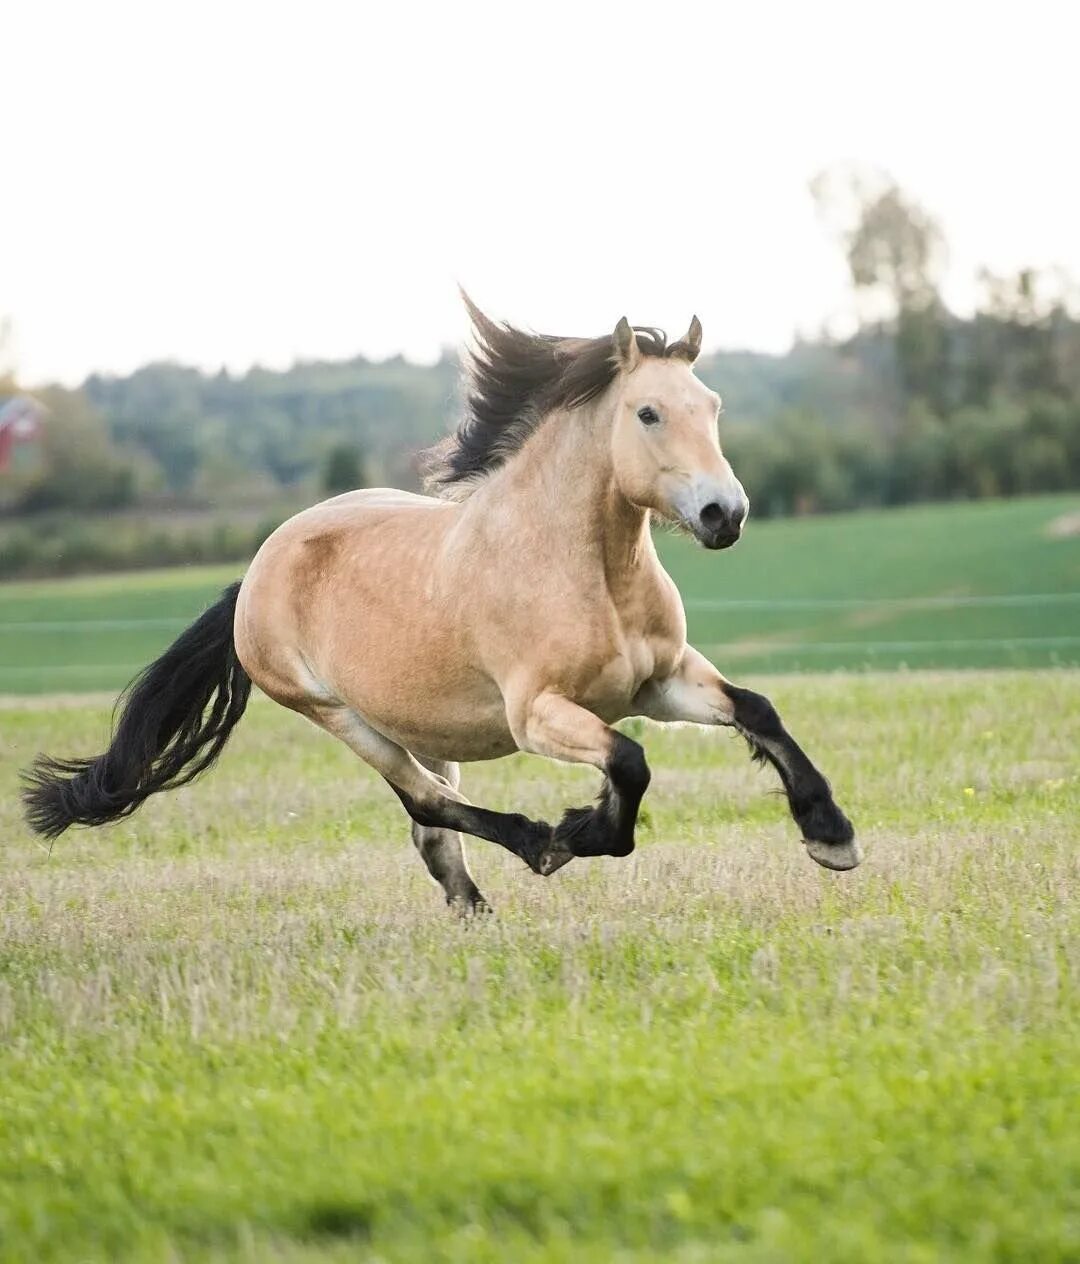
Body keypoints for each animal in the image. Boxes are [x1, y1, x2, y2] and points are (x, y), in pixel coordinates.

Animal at [23, 300, 865, 915]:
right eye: (648, 413)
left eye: (712, 405)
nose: (726, 514)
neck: (583, 568)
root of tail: (258, 569)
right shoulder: (539, 715)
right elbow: (628, 763)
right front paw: (580, 829)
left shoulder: (660, 683)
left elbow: (756, 711)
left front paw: (831, 836)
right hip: (341, 717)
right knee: (429, 805)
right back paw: (534, 845)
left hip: (421, 722)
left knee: (433, 829)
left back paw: (474, 908)